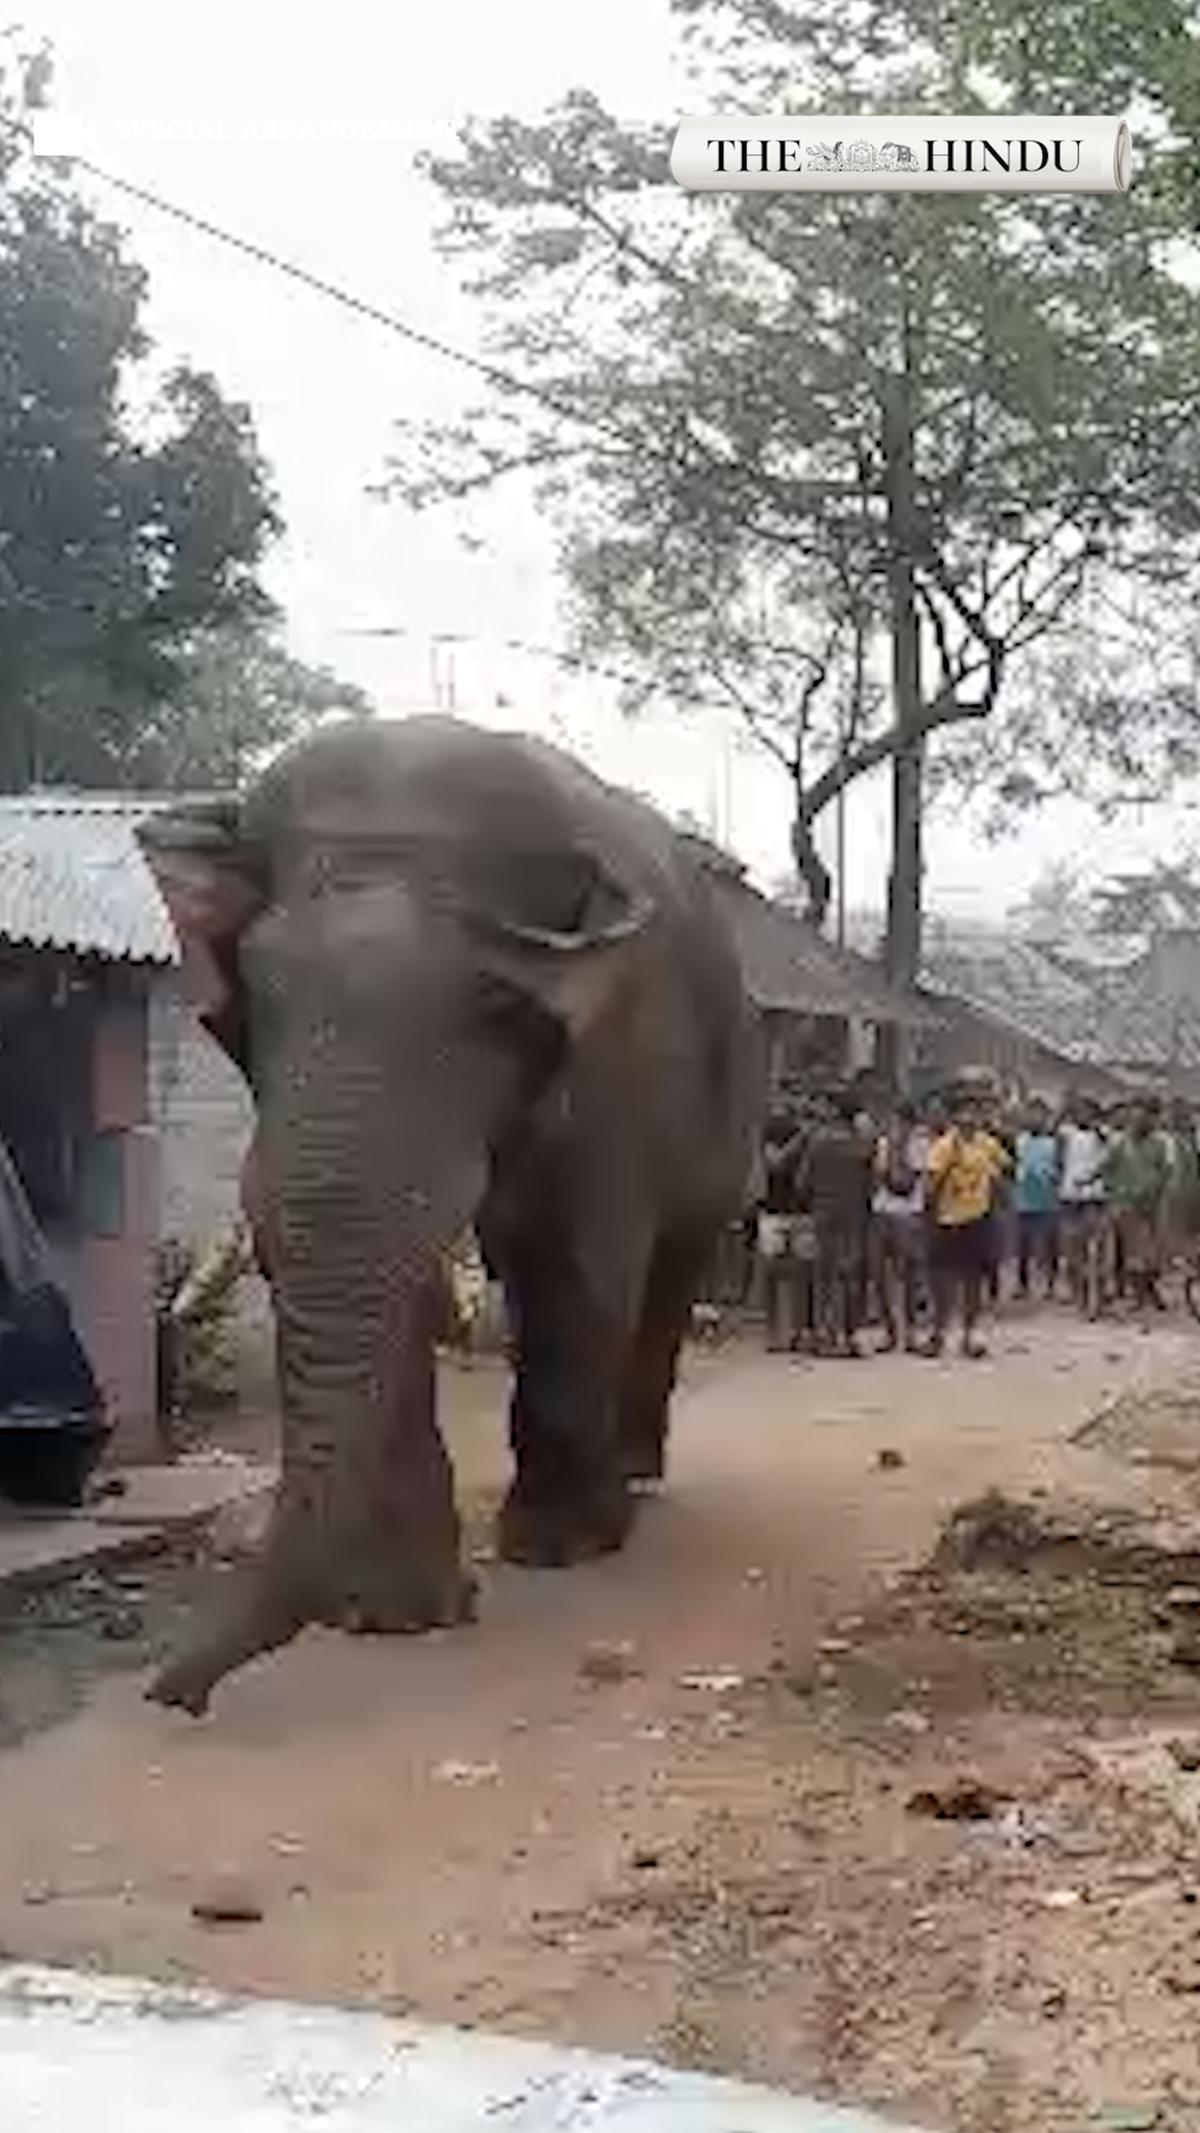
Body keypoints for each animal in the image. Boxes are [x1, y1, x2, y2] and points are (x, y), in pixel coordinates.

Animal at [138, 716, 755, 1713]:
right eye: (261, 989)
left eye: (494, 1001)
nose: (173, 1694)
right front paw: (392, 1613)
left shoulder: (621, 1051)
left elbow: (576, 1260)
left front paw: (557, 1548)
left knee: (666, 1268)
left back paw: (631, 1478)